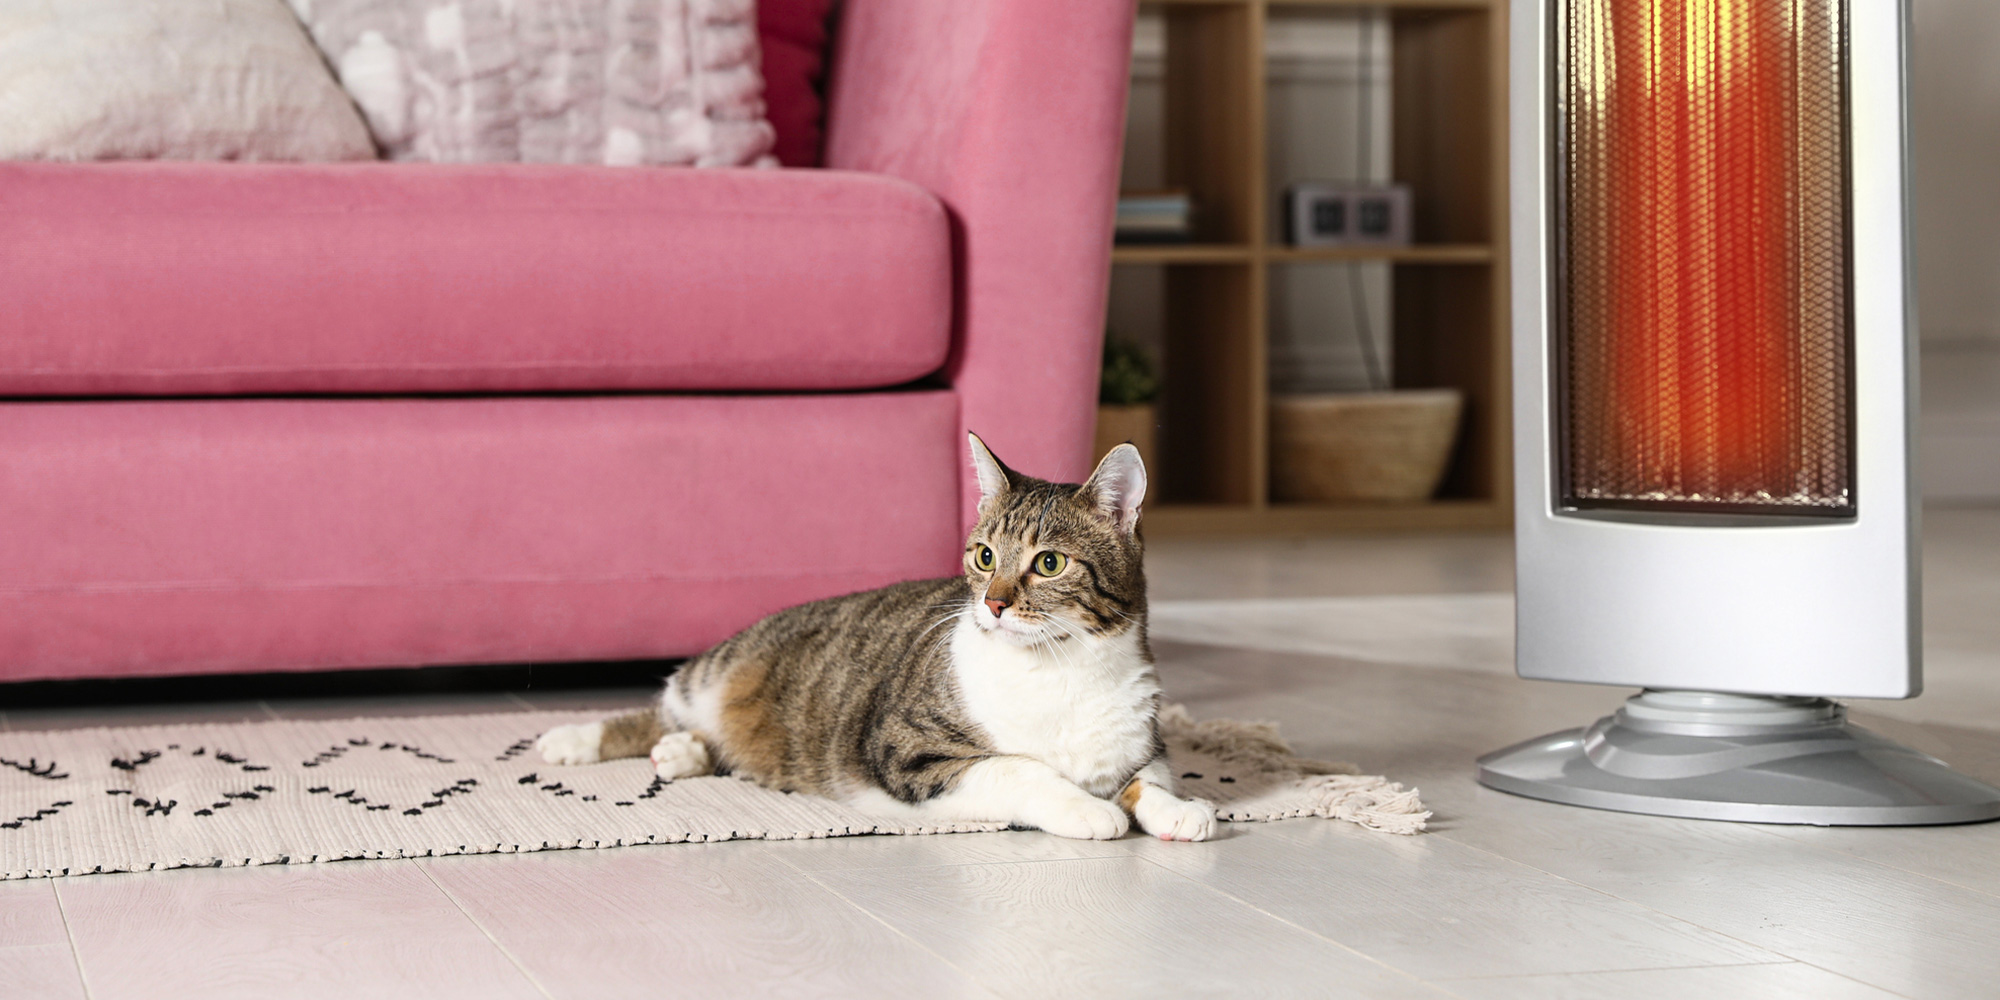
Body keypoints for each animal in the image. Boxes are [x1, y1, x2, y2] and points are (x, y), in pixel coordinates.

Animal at [536, 434, 1216, 840]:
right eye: (984, 555)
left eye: (1049, 563)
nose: (993, 604)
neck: (1058, 667)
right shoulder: (909, 749)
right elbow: (1019, 768)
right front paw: (1088, 809)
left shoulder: (1139, 739)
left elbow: (1151, 778)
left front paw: (1181, 811)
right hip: (716, 670)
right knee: (657, 708)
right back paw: (573, 740)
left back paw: (682, 753)